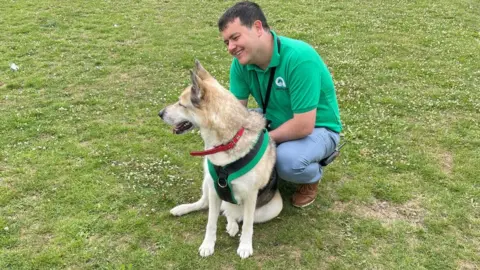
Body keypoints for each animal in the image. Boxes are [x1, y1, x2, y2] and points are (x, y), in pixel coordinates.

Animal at [159, 60, 284, 258]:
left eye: (181, 104)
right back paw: (182, 209)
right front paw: (208, 244)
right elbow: (211, 223)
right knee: (206, 205)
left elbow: (248, 225)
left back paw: (232, 225)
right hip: (207, 182)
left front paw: (245, 246)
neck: (227, 141)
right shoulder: (214, 188)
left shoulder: (251, 195)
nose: (160, 113)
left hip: (272, 208)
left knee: (235, 216)